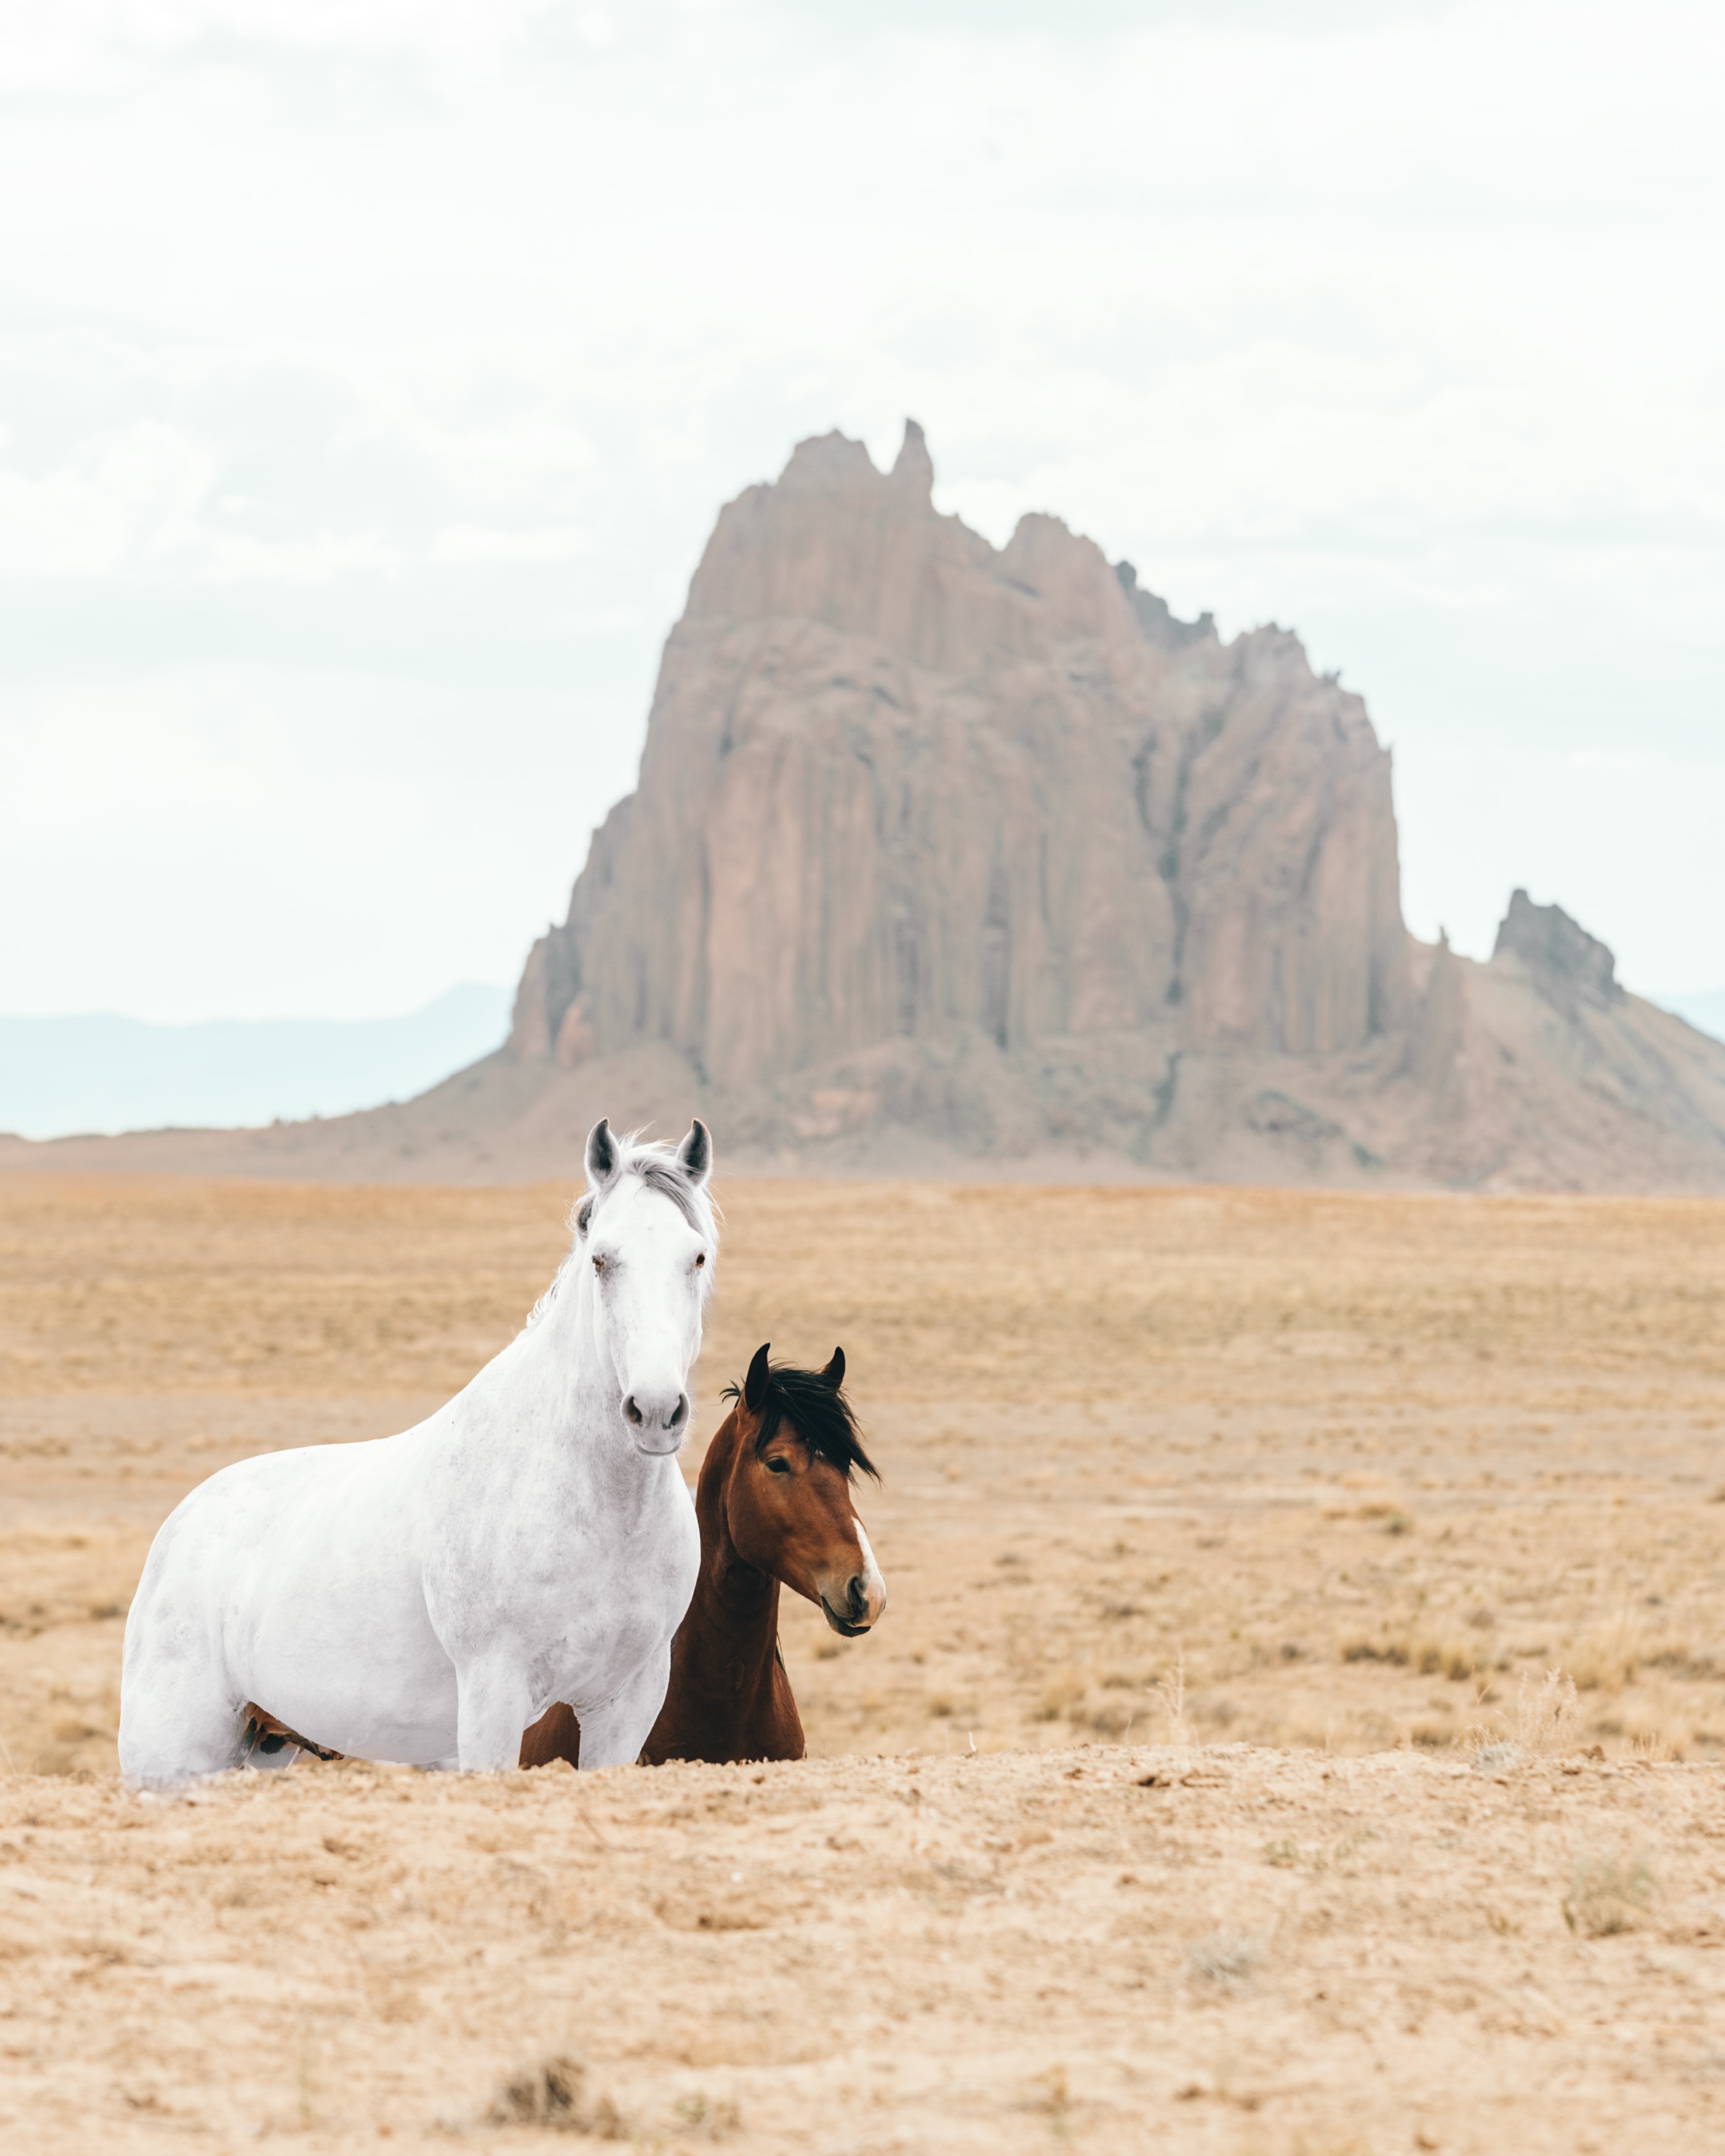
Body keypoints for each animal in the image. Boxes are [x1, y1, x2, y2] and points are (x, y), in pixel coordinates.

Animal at [121, 1112, 716, 1785]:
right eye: (601, 1260)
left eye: (696, 1256)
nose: (656, 1410)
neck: (592, 1504)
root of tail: (179, 1524)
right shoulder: (492, 1696)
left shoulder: (625, 1703)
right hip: (170, 1759)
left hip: (262, 1744)